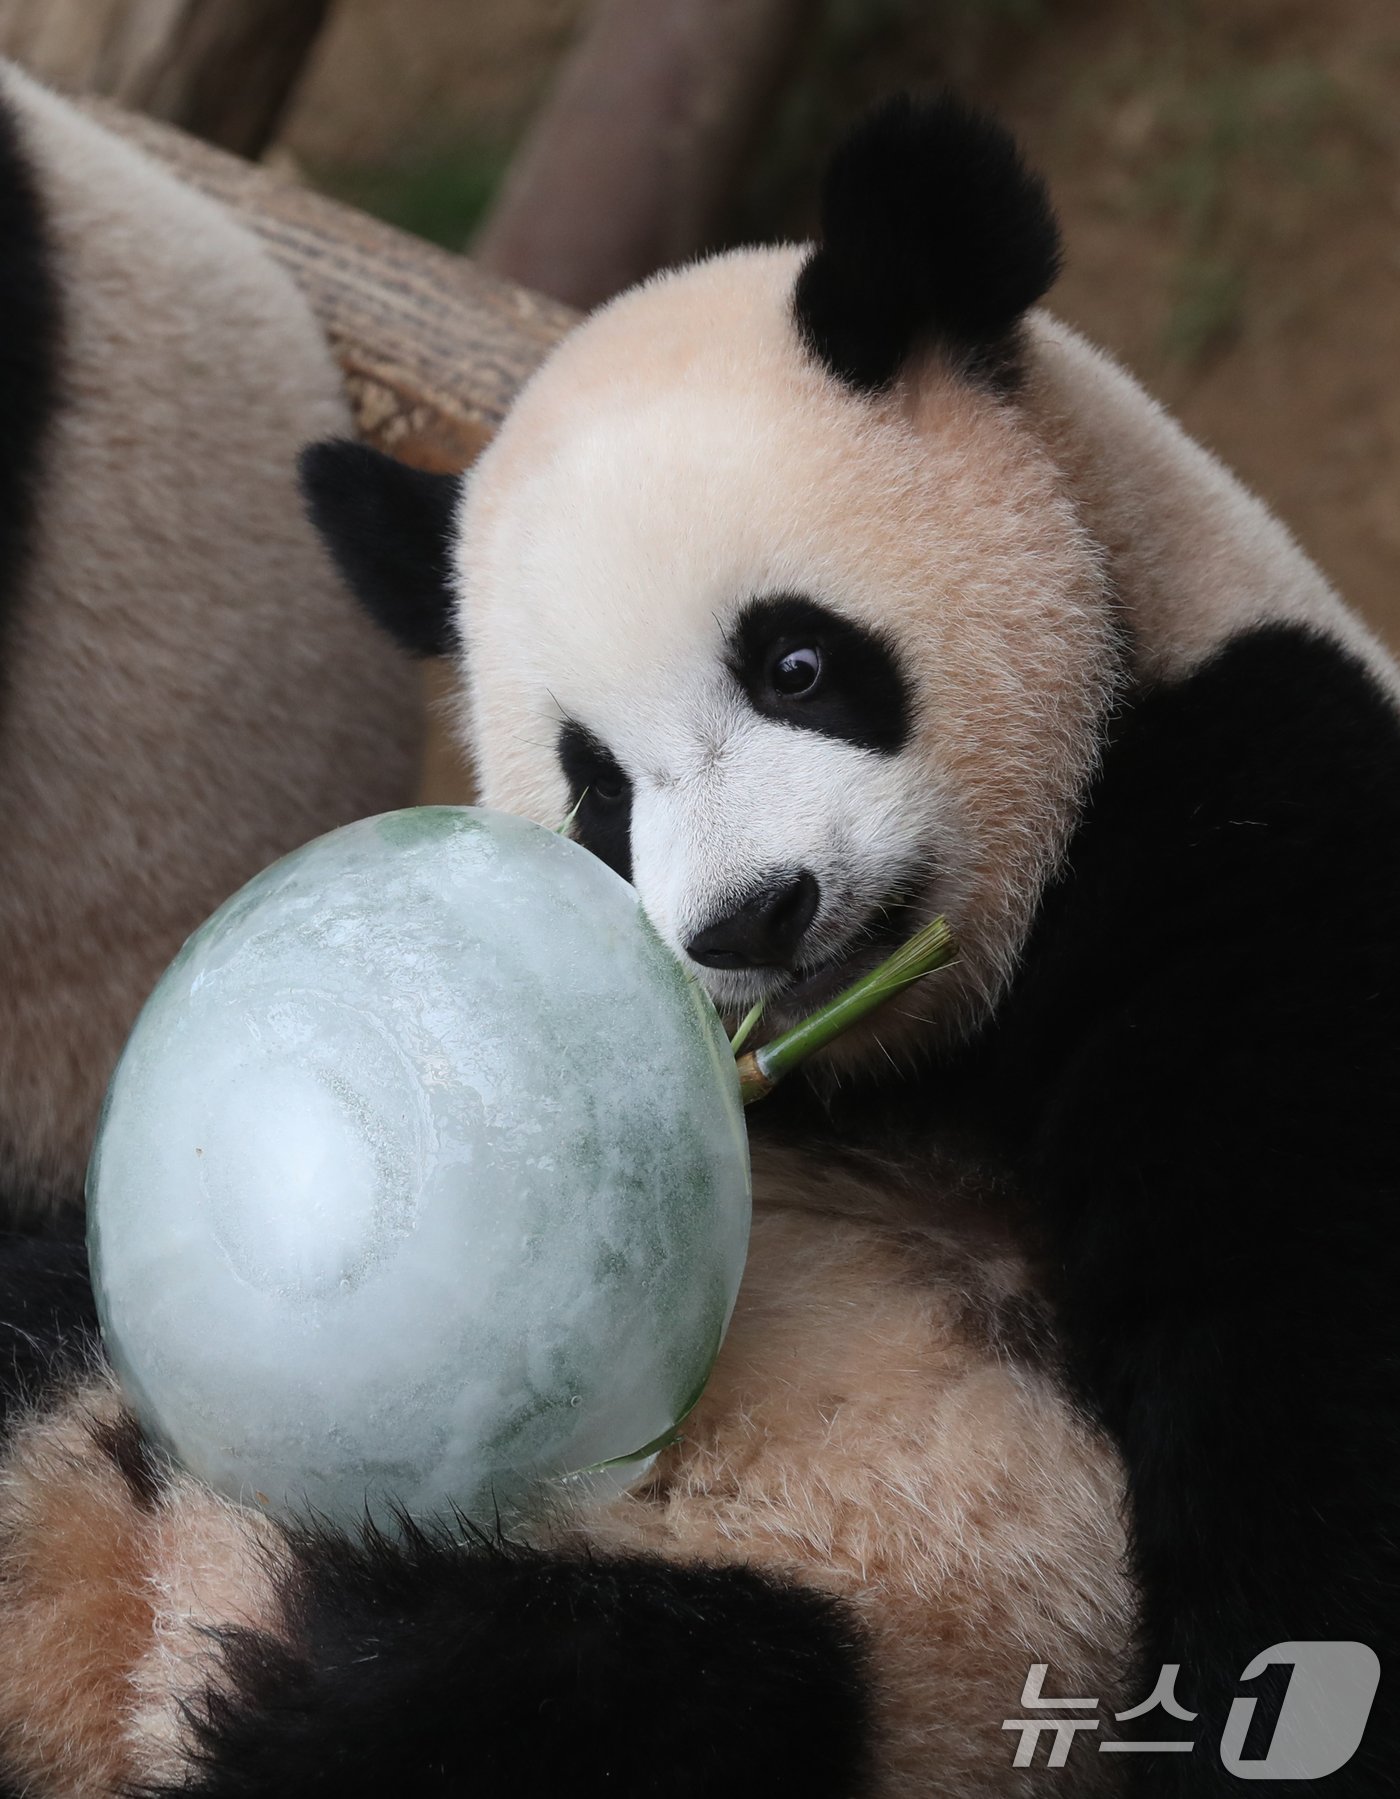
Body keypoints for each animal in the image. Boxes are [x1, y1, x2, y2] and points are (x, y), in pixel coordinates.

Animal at [2, 91, 1396, 1799]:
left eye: (796, 660)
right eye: (599, 789)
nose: (752, 915)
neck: (908, 1056)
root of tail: (125, 1597)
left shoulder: (1249, 805)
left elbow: (1297, 1323)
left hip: (852, 1631)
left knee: (582, 1693)